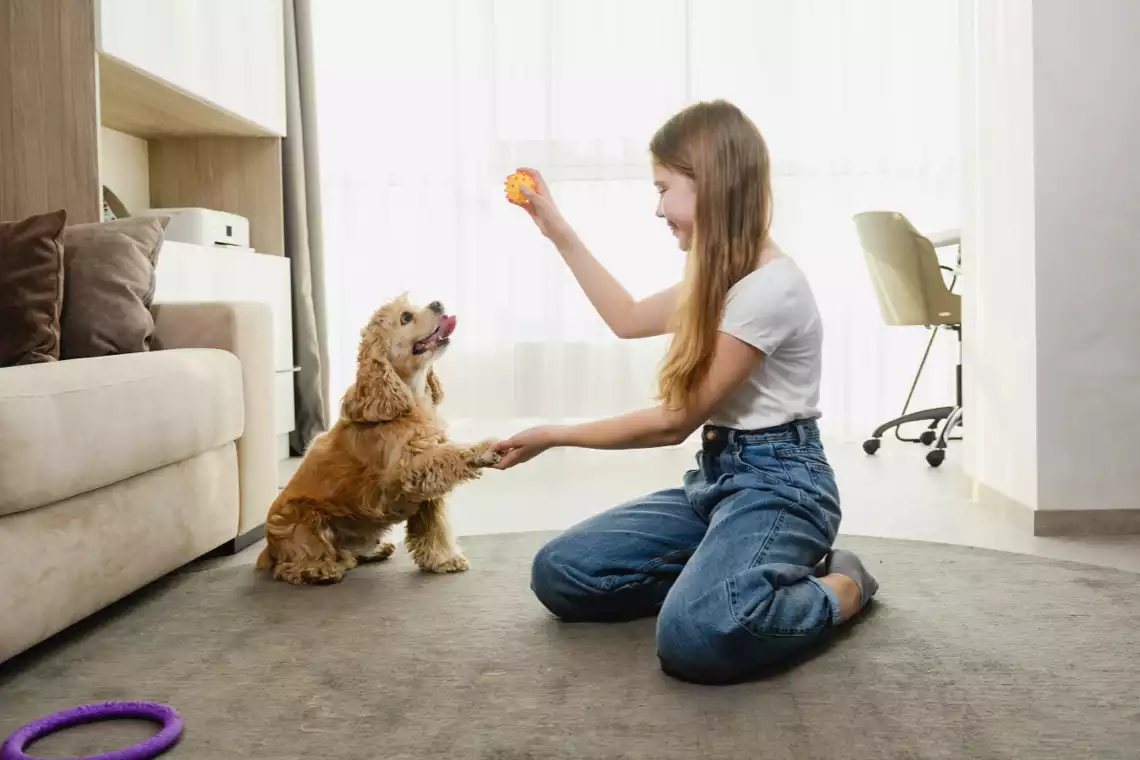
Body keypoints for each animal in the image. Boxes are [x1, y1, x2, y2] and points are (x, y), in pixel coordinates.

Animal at [258, 293, 499, 587]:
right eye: (406, 317)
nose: (438, 303)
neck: (408, 398)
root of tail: (268, 549)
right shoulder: (407, 469)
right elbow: (451, 453)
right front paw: (483, 449)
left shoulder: (427, 485)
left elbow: (434, 527)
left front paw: (443, 559)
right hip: (303, 519)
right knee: (295, 562)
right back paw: (320, 570)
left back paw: (373, 550)